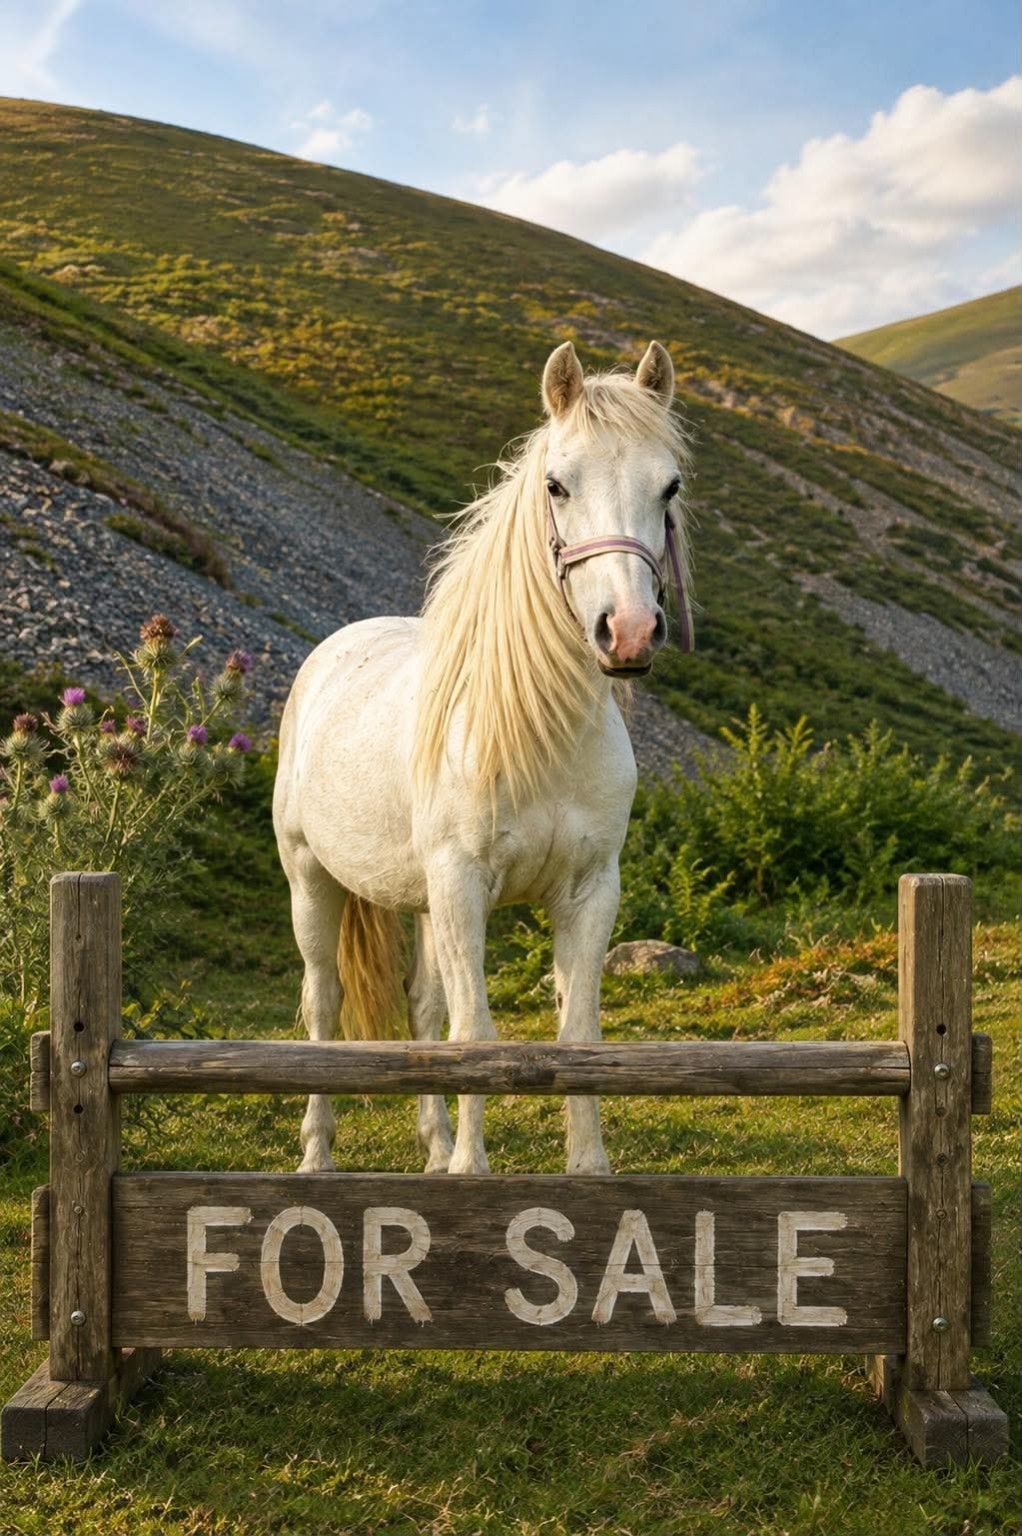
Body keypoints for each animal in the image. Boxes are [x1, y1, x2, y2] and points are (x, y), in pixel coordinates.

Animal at [272, 340, 693, 1176]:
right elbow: (478, 1036)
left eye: (669, 486)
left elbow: (576, 1035)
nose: (629, 632)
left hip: (423, 902)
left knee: (423, 1007)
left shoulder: (590, 891)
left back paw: (434, 1149)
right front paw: (472, 1170)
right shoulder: (463, 885)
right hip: (313, 883)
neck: (539, 732)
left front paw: (585, 1168)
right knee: (325, 1006)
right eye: (557, 485)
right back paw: (318, 1158)